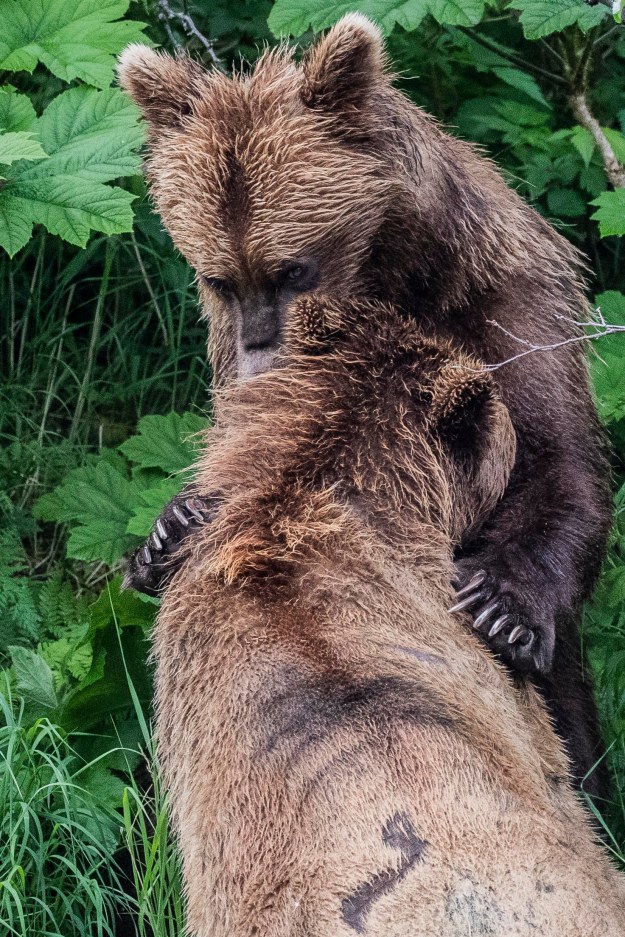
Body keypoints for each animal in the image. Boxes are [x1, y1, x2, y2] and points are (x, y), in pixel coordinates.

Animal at [117, 14, 611, 793]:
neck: (388, 283)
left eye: (293, 268)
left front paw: (501, 605)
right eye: (220, 277)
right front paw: (167, 530)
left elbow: (557, 463)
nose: (264, 363)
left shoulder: (504, 309)